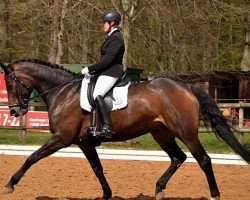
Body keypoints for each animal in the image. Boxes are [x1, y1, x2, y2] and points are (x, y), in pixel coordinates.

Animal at [0, 58, 249, 199]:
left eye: (10, 83)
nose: (14, 112)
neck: (63, 92)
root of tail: (187, 87)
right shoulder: (84, 142)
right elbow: (97, 168)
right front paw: (107, 194)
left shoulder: (61, 138)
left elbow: (32, 157)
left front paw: (10, 184)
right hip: (161, 133)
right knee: (178, 157)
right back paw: (159, 189)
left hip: (186, 132)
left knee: (203, 159)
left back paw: (215, 194)